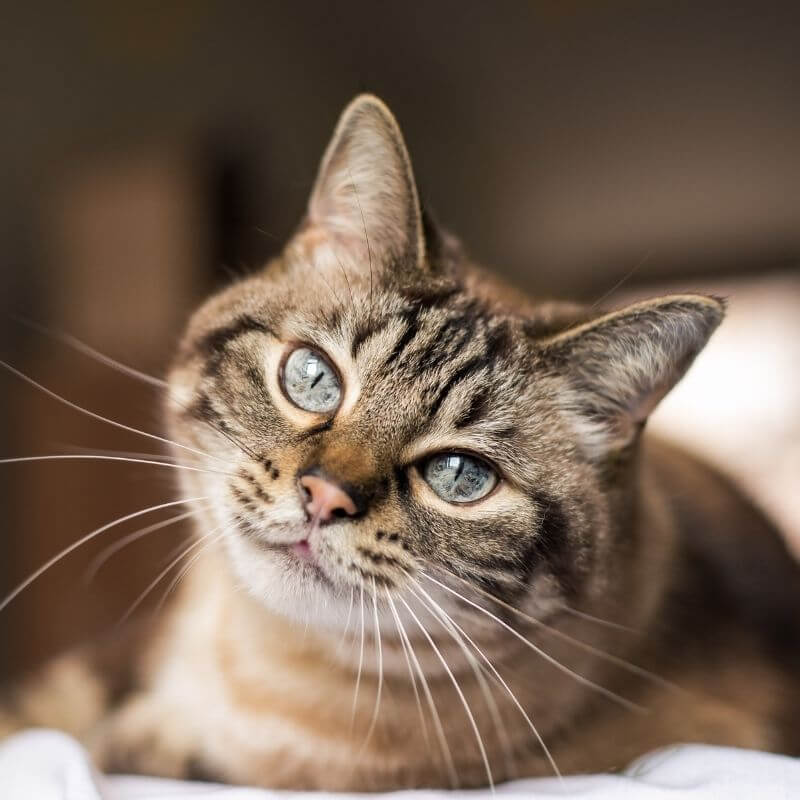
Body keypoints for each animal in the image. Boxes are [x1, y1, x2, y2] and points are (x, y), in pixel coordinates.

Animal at [1, 97, 800, 792]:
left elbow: (141, 751)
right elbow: (40, 713)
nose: (324, 497)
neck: (258, 663)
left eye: (458, 475)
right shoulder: (116, 657)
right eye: (314, 379)